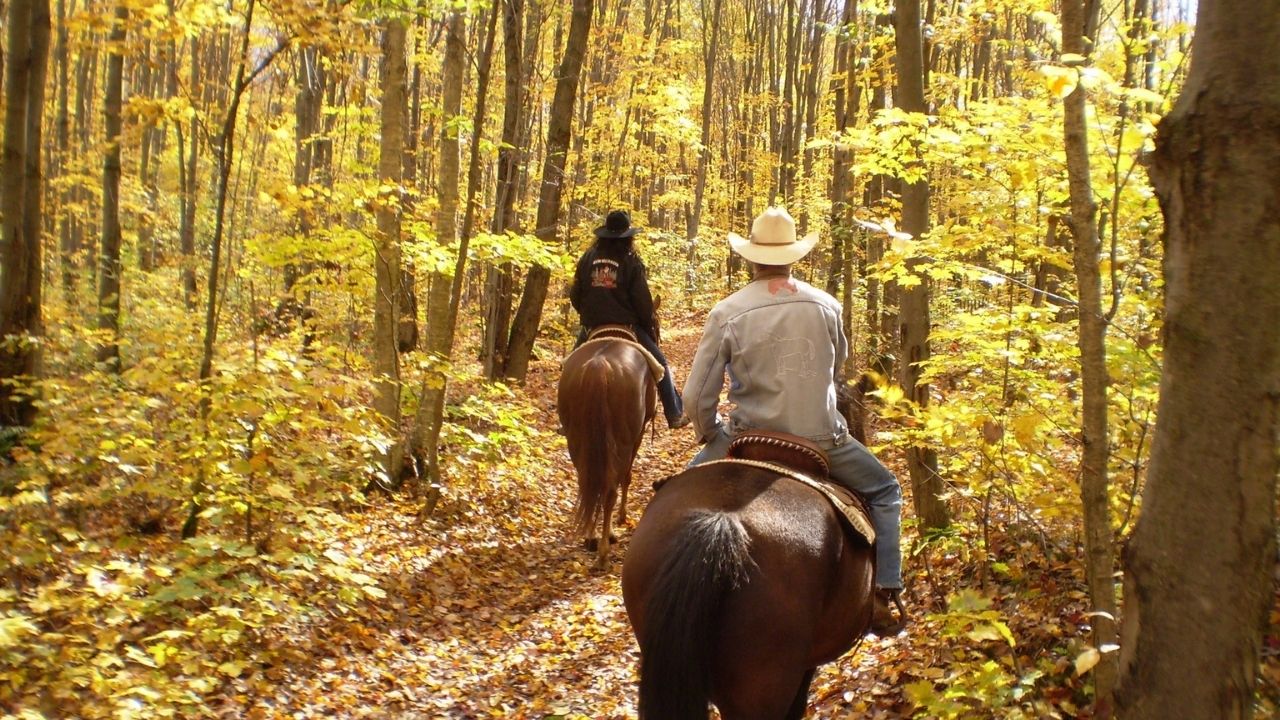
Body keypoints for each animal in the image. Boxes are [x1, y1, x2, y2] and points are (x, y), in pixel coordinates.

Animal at [560, 327, 660, 568]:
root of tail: (598, 365)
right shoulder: (638, 435)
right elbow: (627, 477)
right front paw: (622, 517)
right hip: (622, 442)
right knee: (610, 490)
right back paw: (605, 548)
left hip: (577, 440)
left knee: (587, 484)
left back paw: (591, 538)